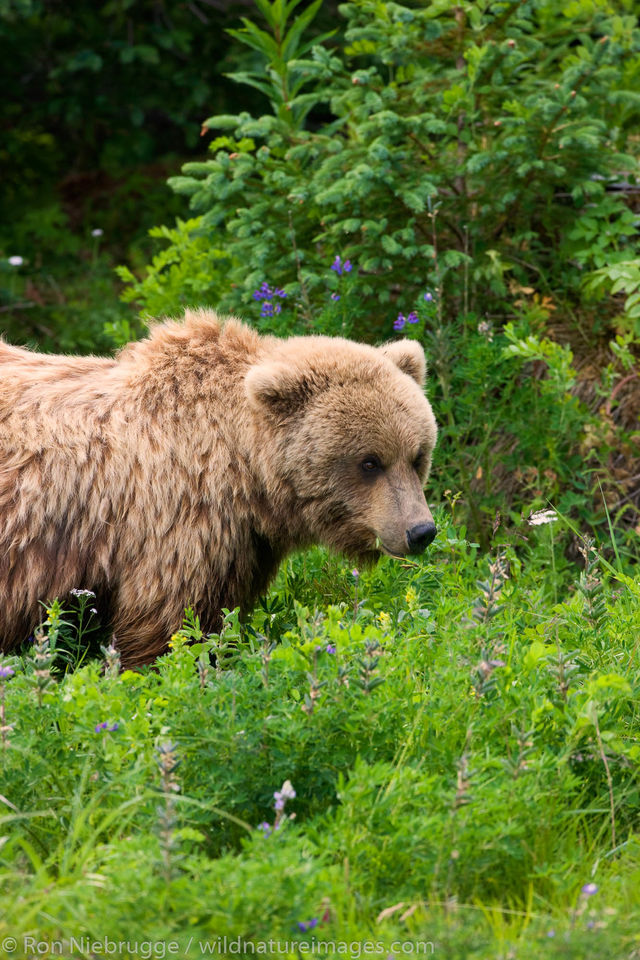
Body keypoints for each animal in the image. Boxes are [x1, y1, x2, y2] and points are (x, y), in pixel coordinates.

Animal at [0, 312, 438, 664]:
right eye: (370, 462)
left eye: (417, 455)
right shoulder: (174, 525)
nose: (421, 531)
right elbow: (170, 629)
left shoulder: (241, 545)